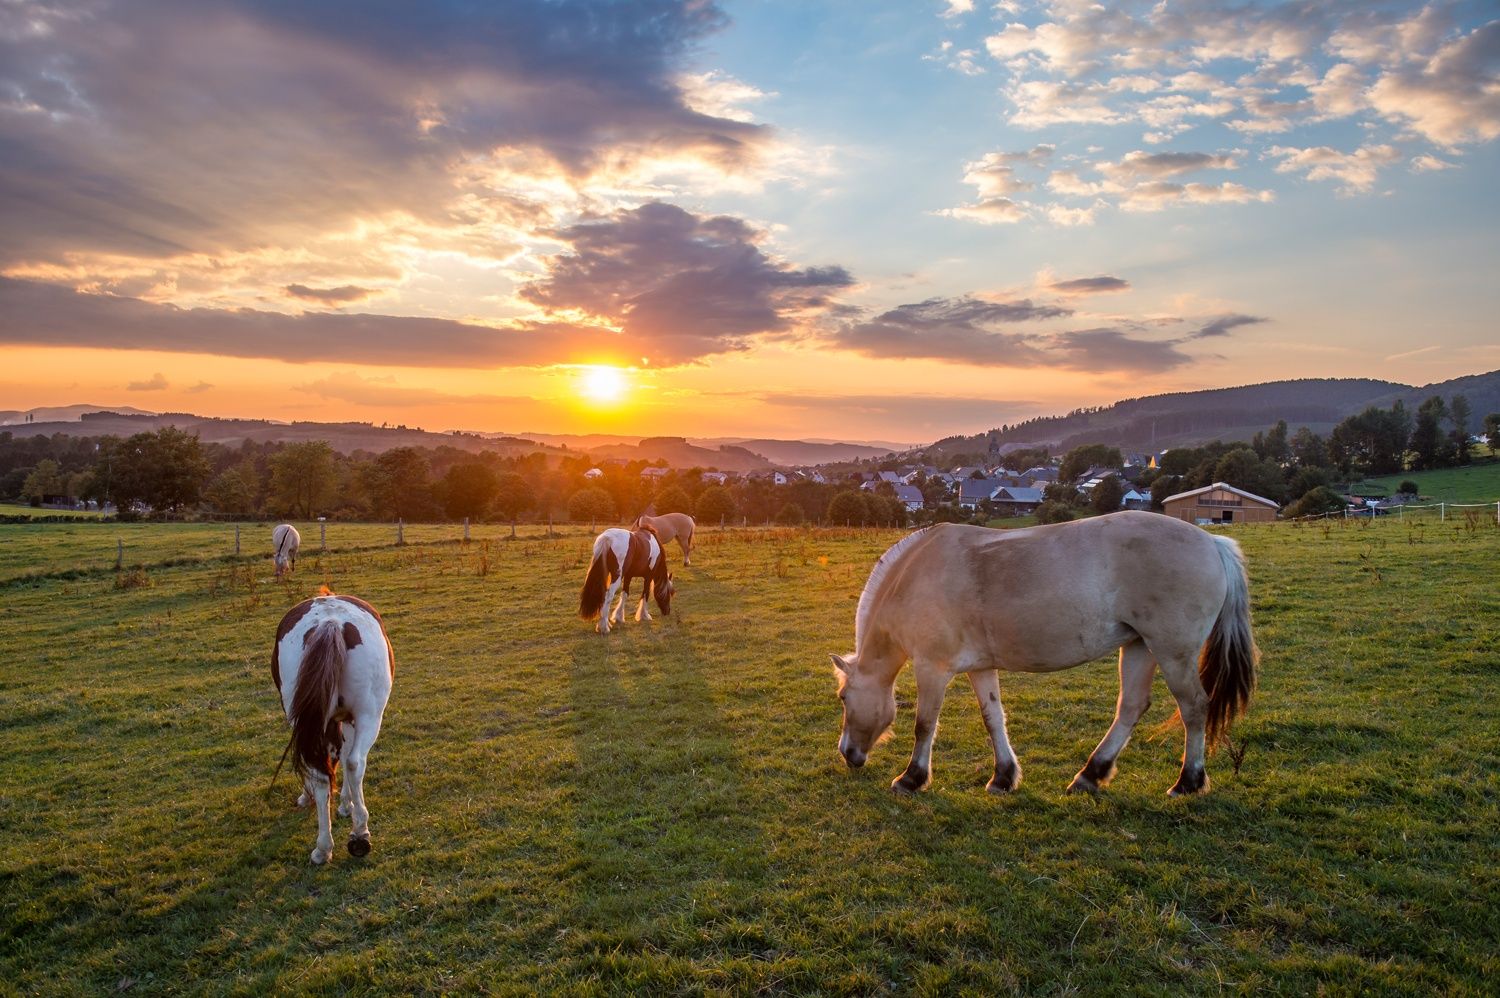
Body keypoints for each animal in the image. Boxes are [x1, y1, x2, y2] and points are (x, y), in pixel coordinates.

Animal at [271, 592, 394, 864]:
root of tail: (331, 623)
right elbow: (345, 758)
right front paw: (347, 805)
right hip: (370, 715)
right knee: (354, 763)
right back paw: (352, 837)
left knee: (328, 769)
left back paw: (334, 841)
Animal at [832, 512, 1258, 798]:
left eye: (843, 697)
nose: (847, 754)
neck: (914, 577)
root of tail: (1213, 543)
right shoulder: (980, 667)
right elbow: (993, 719)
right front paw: (1003, 777)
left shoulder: (932, 668)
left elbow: (924, 725)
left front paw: (911, 778)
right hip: (1140, 647)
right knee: (1132, 707)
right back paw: (1090, 775)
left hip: (1173, 653)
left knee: (1194, 708)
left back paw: (1188, 782)